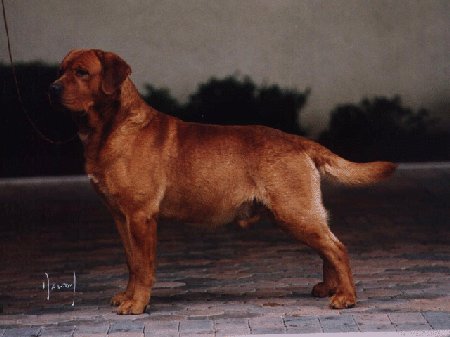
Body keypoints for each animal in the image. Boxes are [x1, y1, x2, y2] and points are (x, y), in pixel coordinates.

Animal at [48, 48, 394, 314]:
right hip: (299, 215)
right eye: (60, 70)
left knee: (337, 248)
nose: (51, 88)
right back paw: (329, 288)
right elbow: (132, 262)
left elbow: (144, 266)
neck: (109, 128)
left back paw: (346, 297)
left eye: (81, 72)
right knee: (327, 247)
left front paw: (137, 305)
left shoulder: (141, 216)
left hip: (295, 212)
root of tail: (299, 141)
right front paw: (127, 296)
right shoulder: (121, 217)